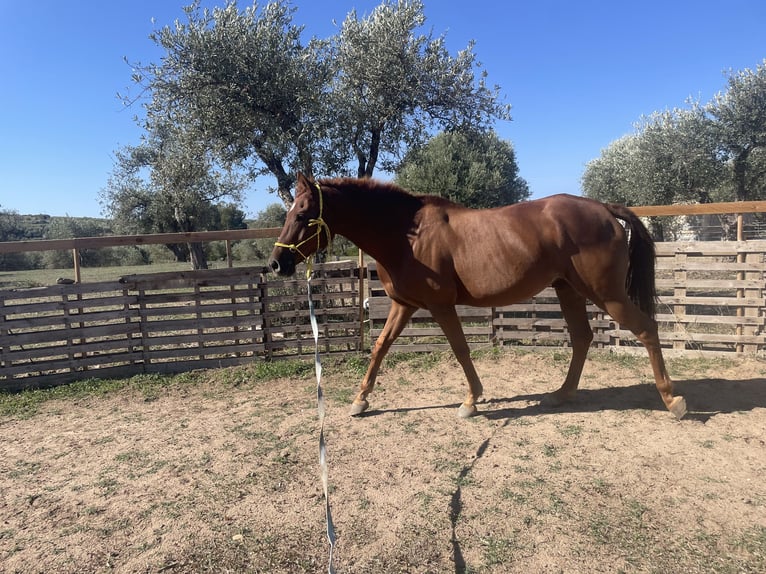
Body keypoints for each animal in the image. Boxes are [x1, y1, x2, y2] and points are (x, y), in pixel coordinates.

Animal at [269, 173, 687, 420]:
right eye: (290, 212)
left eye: (303, 214)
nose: (276, 263)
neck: (407, 236)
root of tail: (603, 208)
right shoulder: (405, 305)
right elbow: (380, 347)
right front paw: (360, 400)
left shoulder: (440, 306)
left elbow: (460, 349)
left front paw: (471, 401)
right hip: (568, 289)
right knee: (583, 338)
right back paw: (562, 394)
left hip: (605, 294)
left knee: (647, 329)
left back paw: (672, 401)